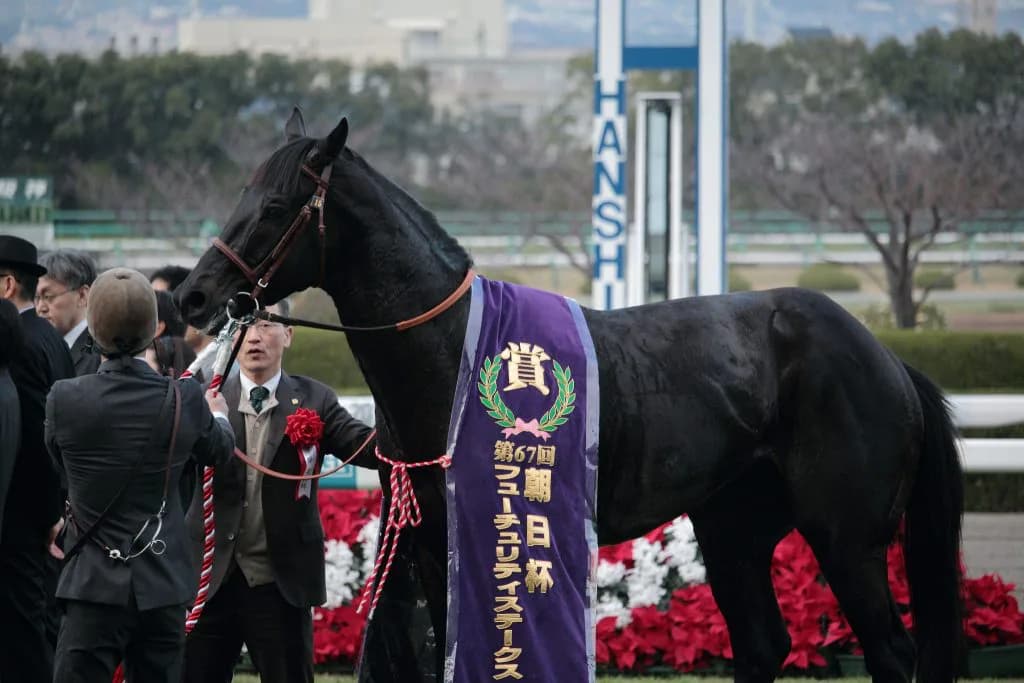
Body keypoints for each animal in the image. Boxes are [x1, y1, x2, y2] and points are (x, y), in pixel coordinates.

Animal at [175, 110, 964, 683]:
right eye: (241, 196)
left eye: (275, 204)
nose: (195, 294)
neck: (454, 352)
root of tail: (887, 357)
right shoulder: (431, 544)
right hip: (733, 524)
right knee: (763, 643)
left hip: (847, 537)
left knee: (891, 652)